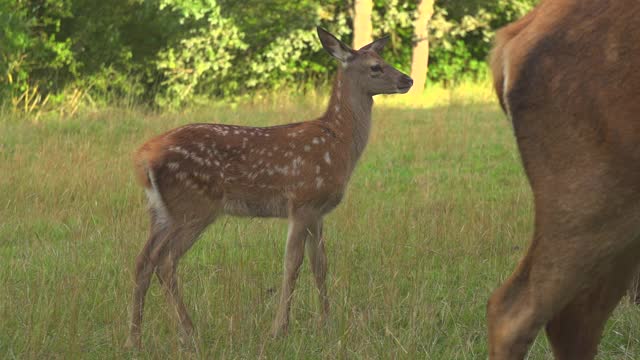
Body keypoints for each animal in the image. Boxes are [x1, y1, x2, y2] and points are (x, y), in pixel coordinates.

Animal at [125, 28, 412, 348]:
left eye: (383, 60)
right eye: (375, 67)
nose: (408, 80)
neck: (339, 143)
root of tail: (143, 158)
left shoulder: (318, 212)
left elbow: (321, 265)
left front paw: (326, 323)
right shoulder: (302, 201)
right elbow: (292, 264)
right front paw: (279, 329)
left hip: (161, 212)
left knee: (143, 260)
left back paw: (134, 338)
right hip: (193, 207)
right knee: (165, 261)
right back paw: (189, 330)